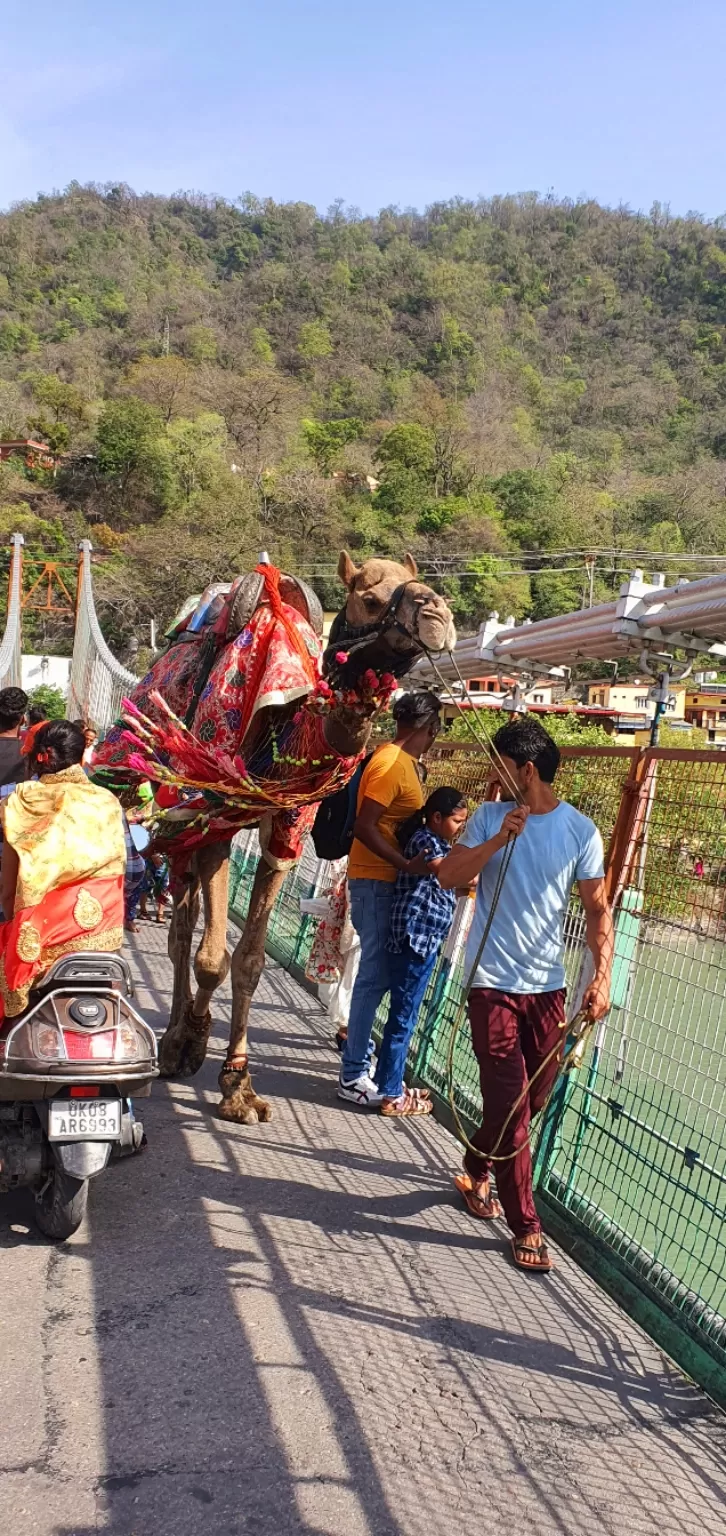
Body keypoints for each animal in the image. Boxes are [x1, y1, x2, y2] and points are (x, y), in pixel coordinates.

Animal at [93, 546, 451, 1124]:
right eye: (371, 598)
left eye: (418, 585)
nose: (437, 612)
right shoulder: (217, 821)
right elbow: (211, 959)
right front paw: (194, 1042)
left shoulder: (286, 830)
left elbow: (249, 961)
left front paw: (238, 1084)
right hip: (172, 808)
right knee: (181, 932)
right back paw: (172, 1041)